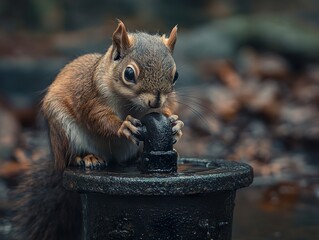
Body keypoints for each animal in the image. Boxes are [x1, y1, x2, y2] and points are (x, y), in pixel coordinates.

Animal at [11, 21, 185, 240]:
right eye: (129, 74)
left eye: (175, 75)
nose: (155, 101)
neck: (130, 103)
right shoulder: (92, 97)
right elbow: (98, 118)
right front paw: (124, 126)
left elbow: (167, 110)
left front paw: (176, 124)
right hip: (64, 130)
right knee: (71, 157)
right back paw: (87, 158)